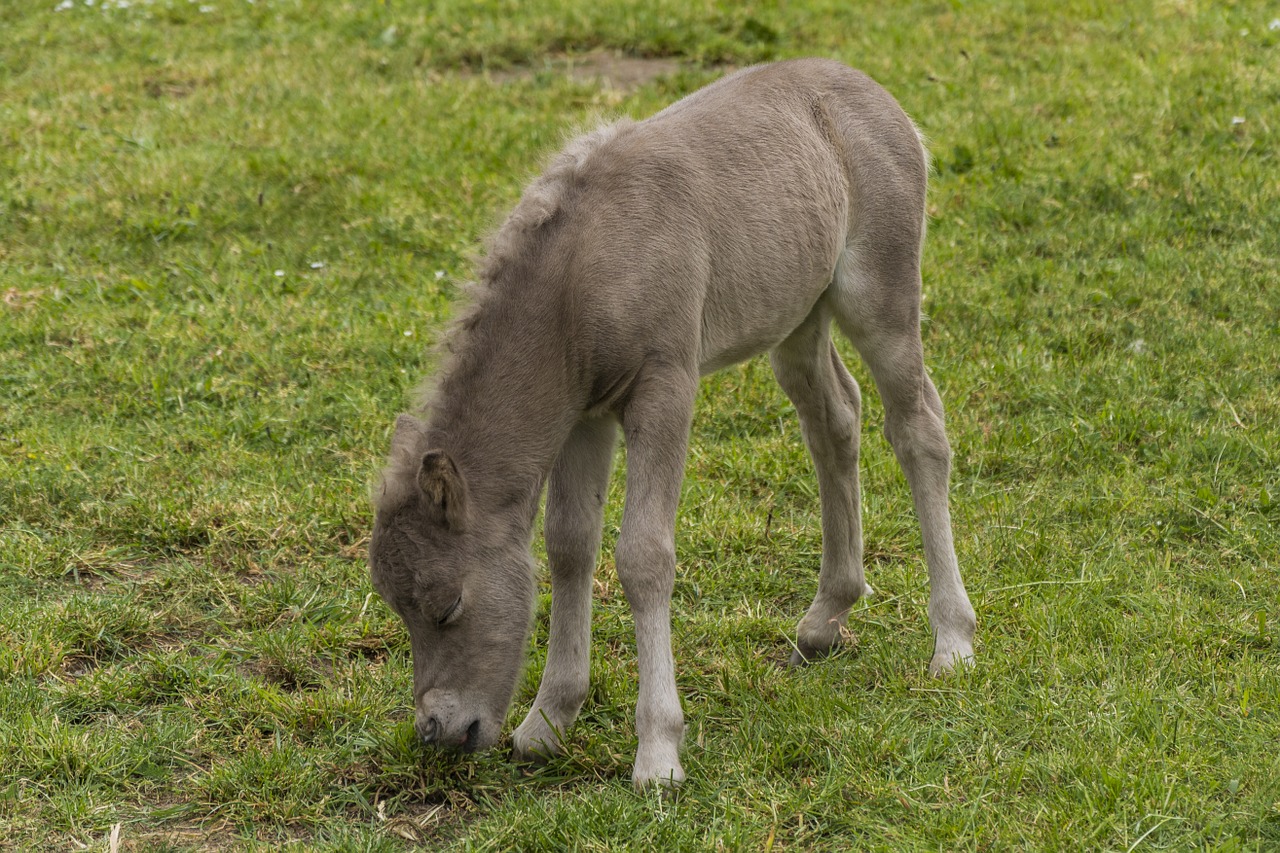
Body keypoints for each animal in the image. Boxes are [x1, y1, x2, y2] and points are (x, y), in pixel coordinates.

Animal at [371, 59, 977, 788]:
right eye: (398, 607)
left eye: (447, 606)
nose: (440, 731)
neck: (582, 270)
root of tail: (876, 95)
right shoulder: (584, 414)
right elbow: (569, 545)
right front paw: (548, 721)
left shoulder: (664, 388)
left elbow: (643, 554)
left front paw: (658, 751)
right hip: (797, 318)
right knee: (835, 419)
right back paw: (824, 619)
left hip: (879, 298)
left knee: (919, 429)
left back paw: (953, 640)